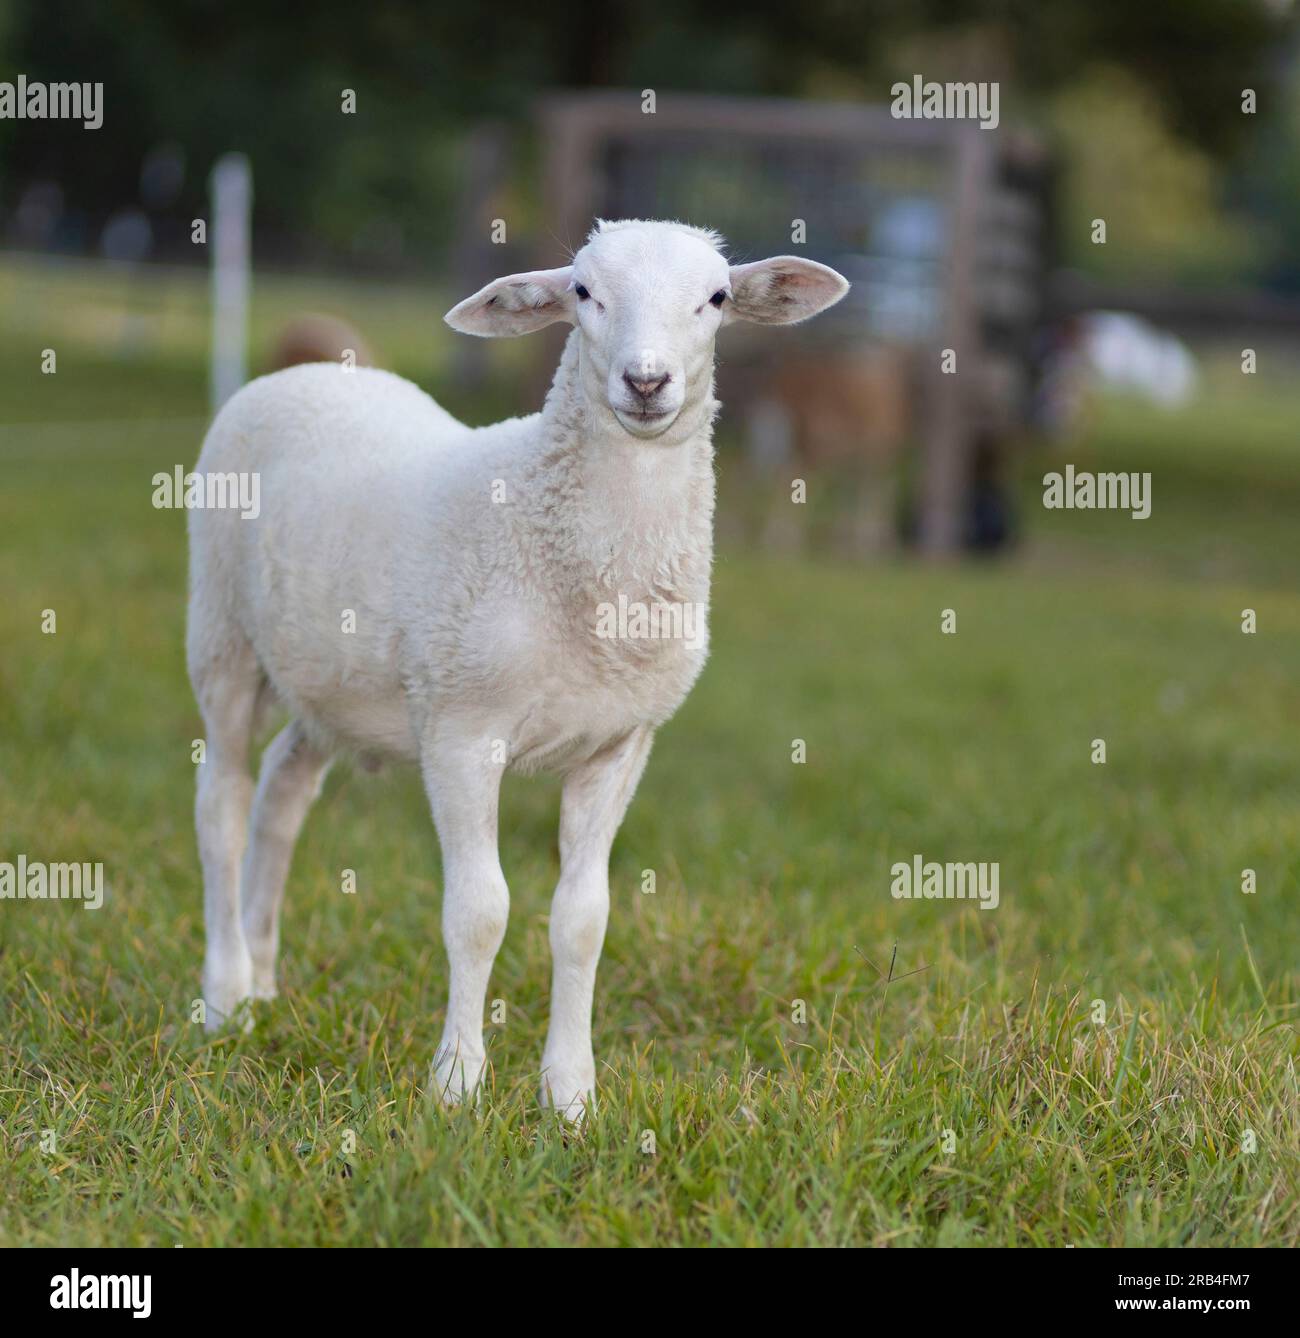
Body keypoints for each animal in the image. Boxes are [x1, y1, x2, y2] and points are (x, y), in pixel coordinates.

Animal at [187, 222, 850, 1118]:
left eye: (715, 298)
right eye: (583, 292)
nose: (647, 381)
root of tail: (305, 370)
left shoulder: (619, 745)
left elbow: (583, 918)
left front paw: (570, 1095)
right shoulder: (463, 729)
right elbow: (480, 911)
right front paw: (458, 1083)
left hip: (331, 684)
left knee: (281, 794)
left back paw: (261, 982)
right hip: (223, 634)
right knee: (220, 803)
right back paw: (224, 996)